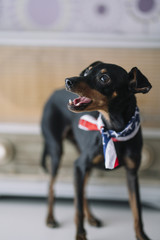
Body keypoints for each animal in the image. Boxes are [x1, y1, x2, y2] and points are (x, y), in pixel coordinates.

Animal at [41, 62, 151, 240]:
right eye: (87, 72)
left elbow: (137, 210)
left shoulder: (132, 174)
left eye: (104, 78)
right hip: (57, 151)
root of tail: (53, 93)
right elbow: (77, 208)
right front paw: (80, 235)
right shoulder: (78, 165)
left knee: (83, 190)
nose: (68, 81)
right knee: (52, 186)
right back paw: (50, 218)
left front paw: (141, 236)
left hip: (86, 165)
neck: (115, 130)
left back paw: (91, 218)